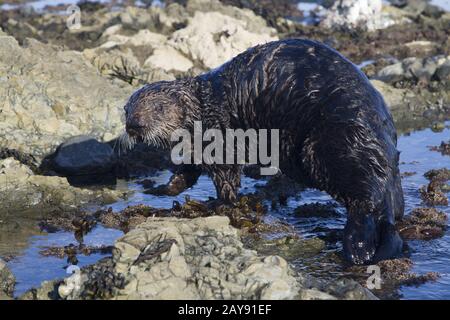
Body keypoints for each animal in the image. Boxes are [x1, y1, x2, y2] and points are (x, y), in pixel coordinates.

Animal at [122, 39, 404, 264]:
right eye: (127, 109)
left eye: (158, 108)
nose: (134, 125)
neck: (204, 107)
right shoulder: (195, 149)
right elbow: (185, 173)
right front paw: (162, 189)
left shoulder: (220, 138)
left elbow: (226, 176)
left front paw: (216, 204)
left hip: (328, 148)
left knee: (364, 200)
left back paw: (356, 246)